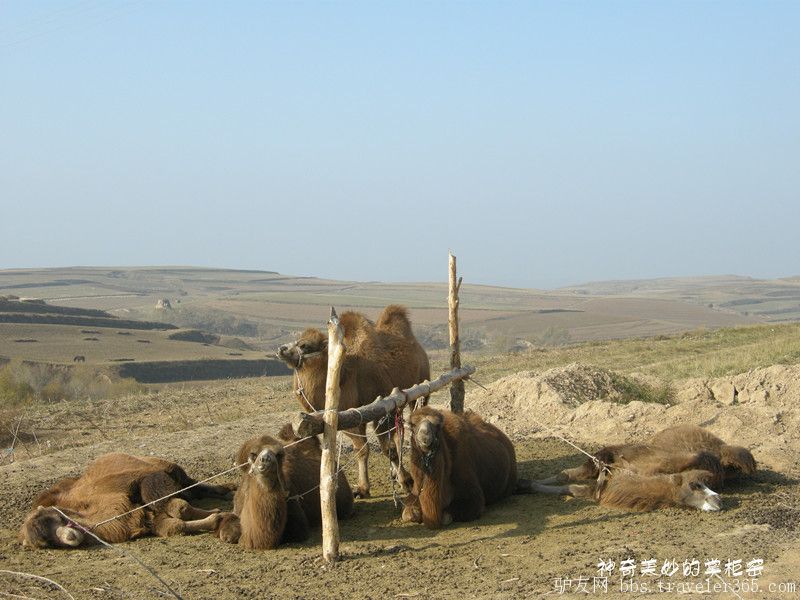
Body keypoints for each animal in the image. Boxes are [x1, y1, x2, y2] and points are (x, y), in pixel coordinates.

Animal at [19, 454, 231, 548]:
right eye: (46, 543)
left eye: (53, 517)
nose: (69, 537)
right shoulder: (146, 517)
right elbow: (174, 525)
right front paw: (215, 518)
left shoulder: (144, 480)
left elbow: (179, 508)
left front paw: (219, 513)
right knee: (192, 490)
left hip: (169, 469)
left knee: (189, 485)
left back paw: (228, 490)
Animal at [282, 304, 432, 496]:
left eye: (304, 345)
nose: (281, 349)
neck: (345, 375)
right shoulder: (351, 416)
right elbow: (361, 449)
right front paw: (362, 488)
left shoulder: (382, 408)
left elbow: (387, 449)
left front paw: (406, 481)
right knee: (400, 432)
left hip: (421, 388)